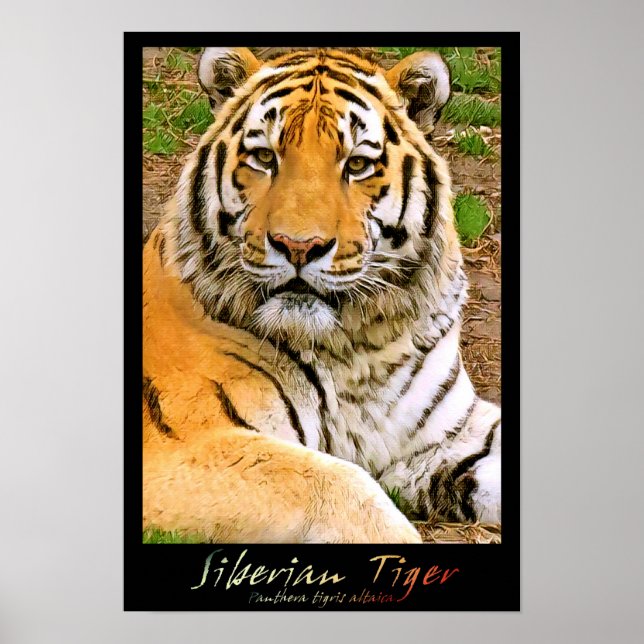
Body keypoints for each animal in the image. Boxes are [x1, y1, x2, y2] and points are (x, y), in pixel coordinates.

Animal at [142, 47, 501, 544]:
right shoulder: (183, 445)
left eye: (357, 164)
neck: (358, 347)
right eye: (264, 157)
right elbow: (340, 484)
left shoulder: (454, 435)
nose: (298, 246)